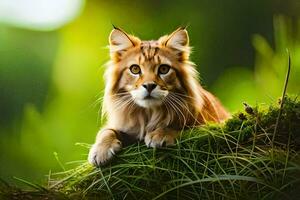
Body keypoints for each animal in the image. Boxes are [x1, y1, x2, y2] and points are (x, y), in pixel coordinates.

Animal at [88, 27, 229, 166]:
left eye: (164, 69)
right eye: (135, 69)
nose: (149, 86)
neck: (149, 114)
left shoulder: (211, 125)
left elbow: (180, 126)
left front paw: (160, 134)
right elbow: (106, 131)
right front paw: (101, 150)